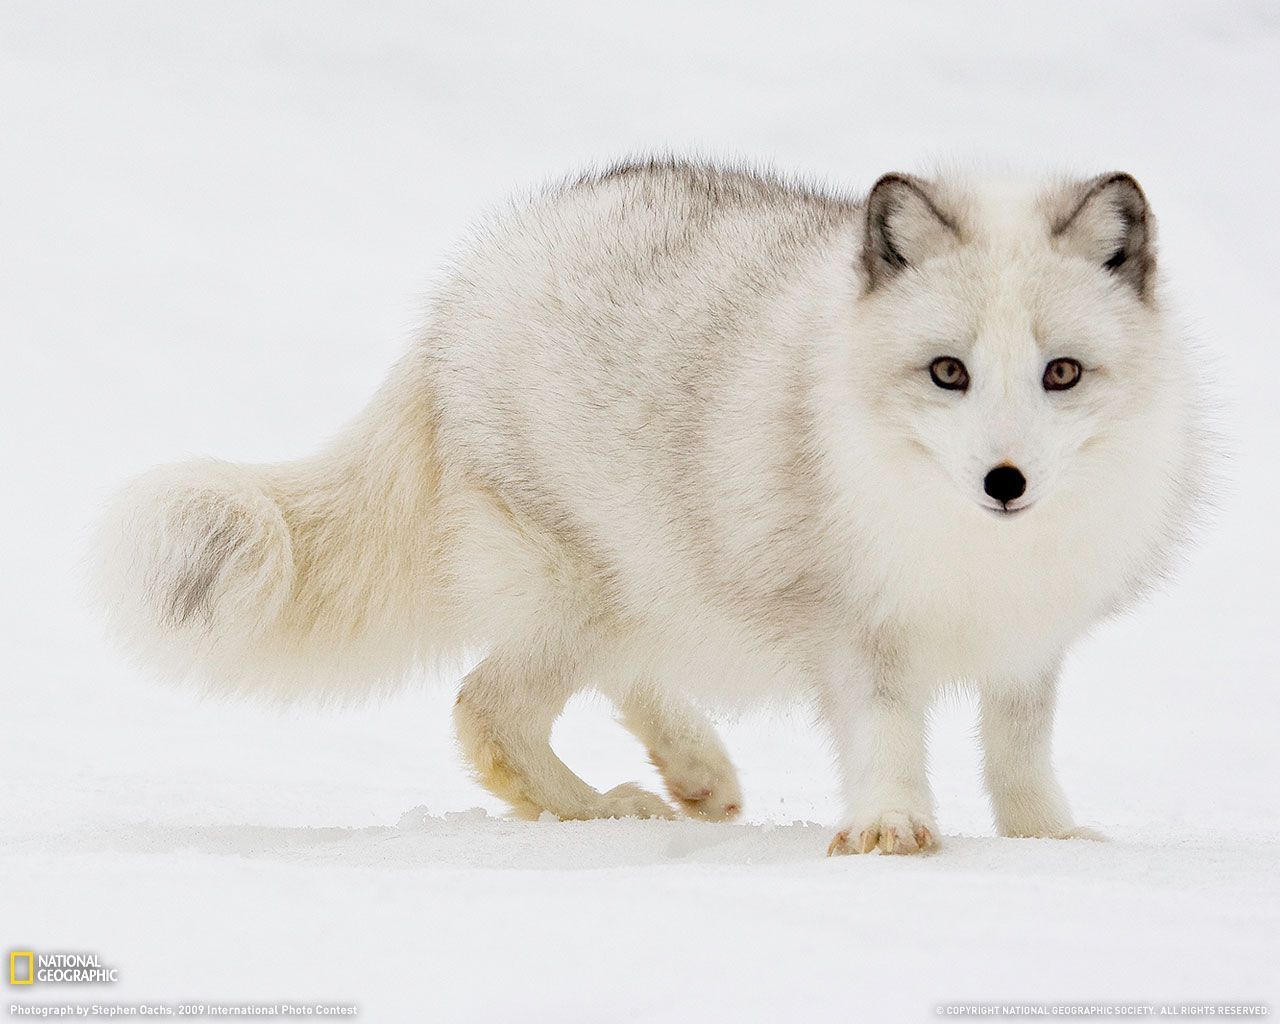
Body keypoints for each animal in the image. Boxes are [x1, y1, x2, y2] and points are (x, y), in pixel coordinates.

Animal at [93, 159, 1203, 855]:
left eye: (1061, 372)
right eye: (947, 372)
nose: (1004, 483)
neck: (969, 547)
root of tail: (464, 288)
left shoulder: (1029, 638)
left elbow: (1019, 752)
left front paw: (1047, 840)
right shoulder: (853, 627)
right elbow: (887, 734)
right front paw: (891, 829)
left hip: (643, 584)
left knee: (613, 679)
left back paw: (695, 772)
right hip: (584, 589)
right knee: (484, 710)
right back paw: (603, 812)